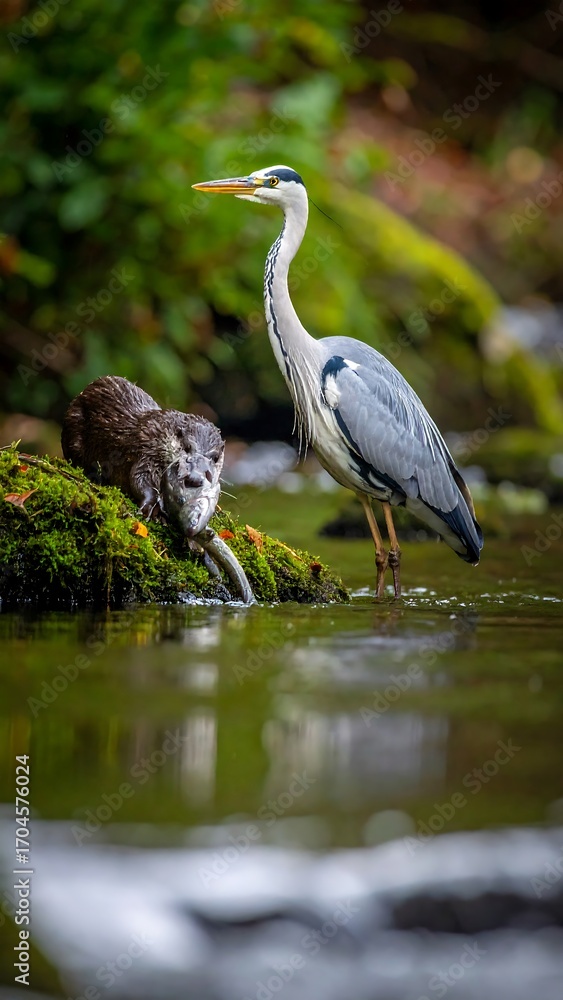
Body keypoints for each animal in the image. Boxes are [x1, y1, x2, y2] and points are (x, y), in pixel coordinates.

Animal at [61, 376, 254, 603]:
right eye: (187, 448)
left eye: (214, 457)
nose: (195, 478)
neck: (159, 435)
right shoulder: (145, 452)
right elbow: (139, 480)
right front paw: (150, 508)